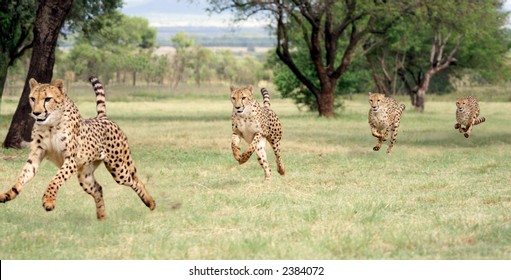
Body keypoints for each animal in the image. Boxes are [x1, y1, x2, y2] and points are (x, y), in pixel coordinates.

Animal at [0, 77, 156, 221]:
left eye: (47, 99)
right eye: (32, 98)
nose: (36, 113)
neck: (50, 124)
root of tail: (103, 117)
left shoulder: (71, 160)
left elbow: (55, 179)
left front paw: (49, 201)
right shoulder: (36, 155)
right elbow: (23, 175)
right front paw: (8, 194)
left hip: (118, 168)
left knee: (135, 180)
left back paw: (150, 203)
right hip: (85, 176)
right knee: (98, 189)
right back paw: (102, 218)